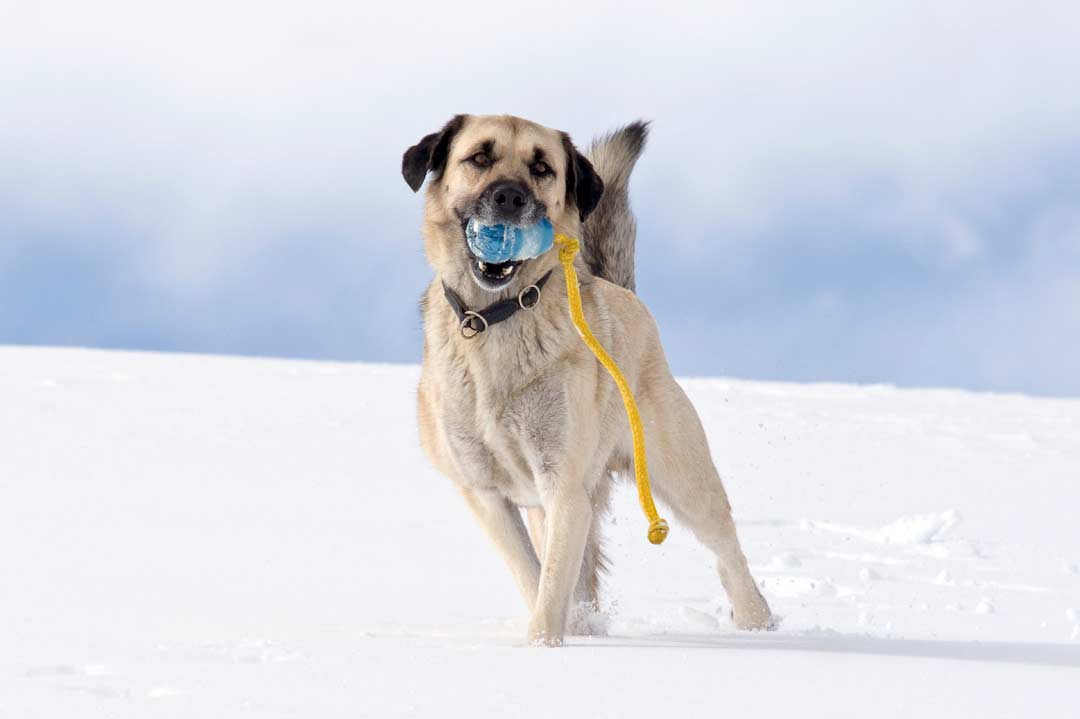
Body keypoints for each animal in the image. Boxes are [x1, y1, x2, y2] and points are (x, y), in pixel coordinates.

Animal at [403, 113, 768, 643]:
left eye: (542, 168)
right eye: (480, 157)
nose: (509, 197)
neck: (498, 318)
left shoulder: (564, 486)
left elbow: (554, 582)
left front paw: (546, 646)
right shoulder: (488, 494)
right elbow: (534, 575)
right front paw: (560, 637)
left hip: (681, 476)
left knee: (727, 550)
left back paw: (758, 624)